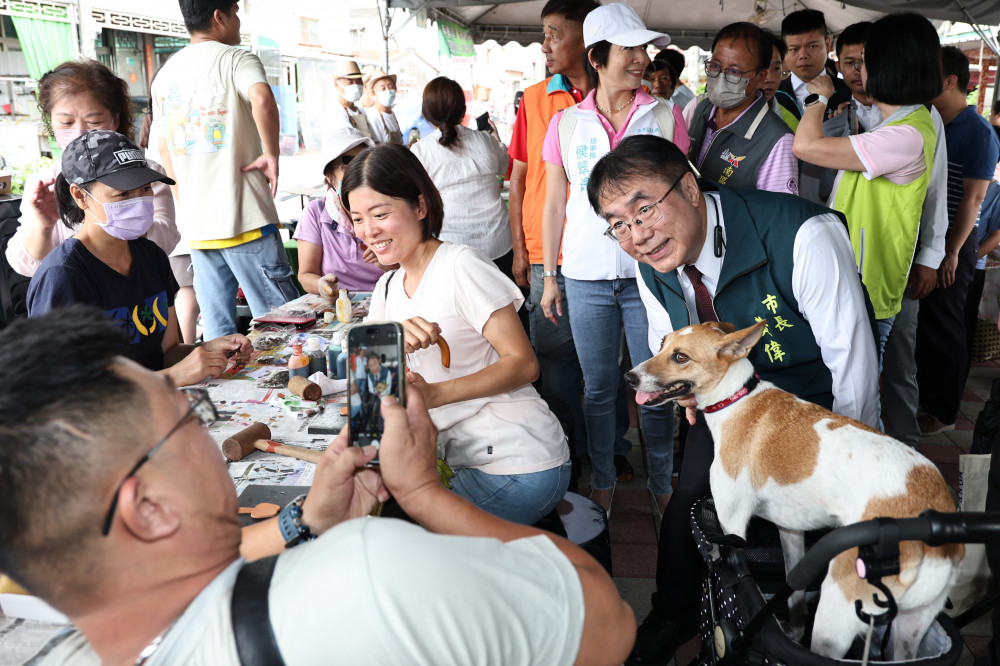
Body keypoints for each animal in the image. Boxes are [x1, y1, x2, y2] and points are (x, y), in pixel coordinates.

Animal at [628, 320, 964, 656]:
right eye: (662, 343)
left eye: (680, 357)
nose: (629, 377)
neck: (737, 399)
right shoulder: (790, 531)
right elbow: (793, 588)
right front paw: (793, 627)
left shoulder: (730, 521)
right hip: (909, 626)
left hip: (836, 614)